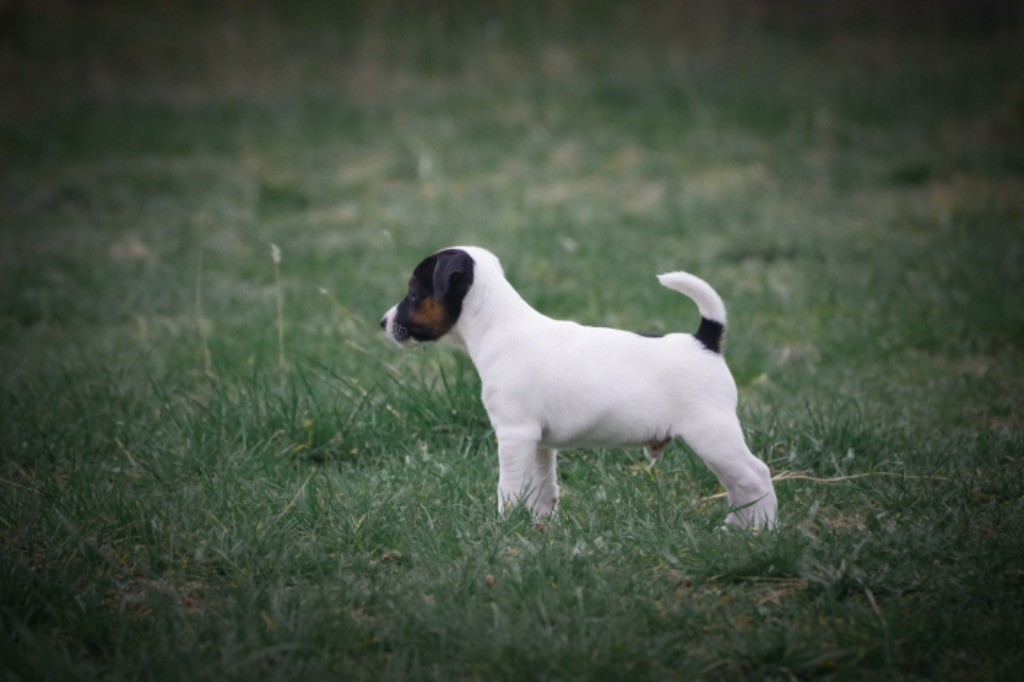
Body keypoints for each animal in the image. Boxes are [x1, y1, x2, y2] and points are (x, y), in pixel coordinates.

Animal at [380, 246, 777, 529]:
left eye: (413, 292)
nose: (382, 322)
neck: (500, 327)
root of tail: (706, 340)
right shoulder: (539, 443)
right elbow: (543, 490)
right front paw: (540, 529)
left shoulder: (514, 435)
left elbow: (508, 489)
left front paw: (503, 529)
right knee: (739, 486)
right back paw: (736, 529)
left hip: (712, 434)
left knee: (756, 477)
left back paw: (763, 532)